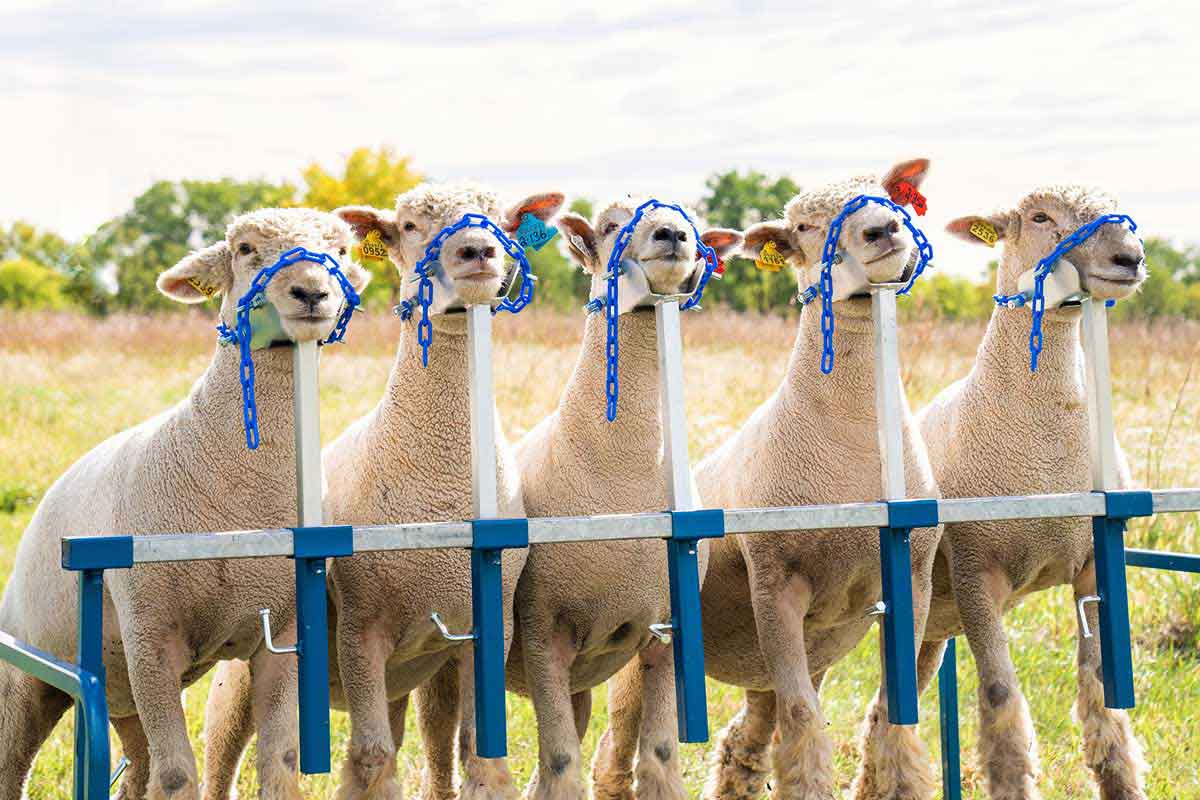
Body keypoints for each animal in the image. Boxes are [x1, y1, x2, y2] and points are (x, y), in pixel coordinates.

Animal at [0, 208, 370, 800]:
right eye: (244, 248)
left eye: (338, 249)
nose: (311, 291)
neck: (239, 497)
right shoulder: (150, 634)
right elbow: (178, 774)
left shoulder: (286, 636)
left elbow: (280, 760)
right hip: (32, 676)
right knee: (15, 762)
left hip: (120, 691)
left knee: (138, 765)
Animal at [202, 182, 564, 800]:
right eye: (411, 226)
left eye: (501, 221)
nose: (477, 250)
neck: (440, 478)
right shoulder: (360, 625)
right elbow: (371, 758)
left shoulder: (484, 625)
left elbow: (478, 754)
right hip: (247, 669)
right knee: (222, 752)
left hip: (412, 671)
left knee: (429, 738)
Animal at [503, 197, 741, 800]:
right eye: (611, 225)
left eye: (692, 226)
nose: (672, 235)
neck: (618, 471)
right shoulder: (542, 631)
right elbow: (563, 758)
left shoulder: (663, 634)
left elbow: (658, 753)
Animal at [695, 160, 942, 800]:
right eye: (805, 226)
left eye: (888, 198)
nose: (882, 230)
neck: (851, 437)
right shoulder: (776, 585)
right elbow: (804, 719)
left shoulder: (913, 579)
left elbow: (893, 711)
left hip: (775, 658)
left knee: (746, 738)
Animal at [890, 185, 1149, 800]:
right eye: (1039, 217)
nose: (1129, 257)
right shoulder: (975, 572)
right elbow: (1001, 696)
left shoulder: (1093, 564)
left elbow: (1100, 694)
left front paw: (1120, 777)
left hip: (933, 628)